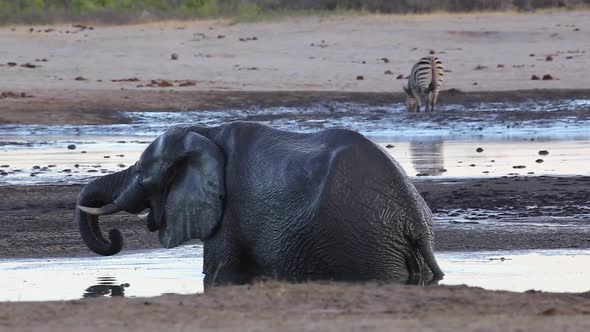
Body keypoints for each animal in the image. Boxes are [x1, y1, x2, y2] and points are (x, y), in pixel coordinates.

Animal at [76, 122, 444, 286]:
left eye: (140, 172)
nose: (115, 236)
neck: (205, 132)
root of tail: (414, 219)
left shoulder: (228, 209)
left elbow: (218, 270)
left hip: (363, 238)